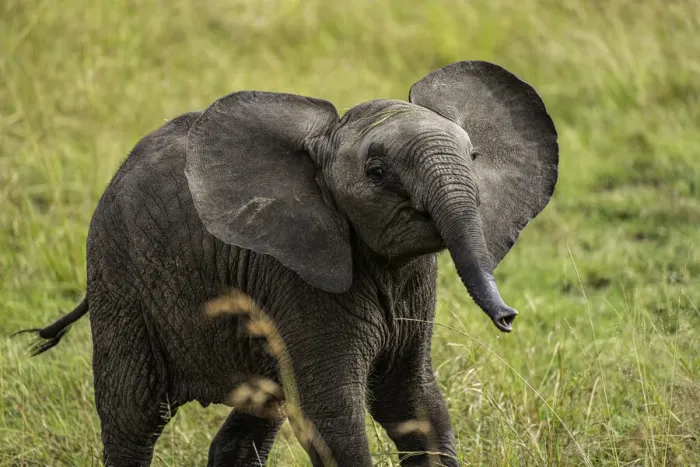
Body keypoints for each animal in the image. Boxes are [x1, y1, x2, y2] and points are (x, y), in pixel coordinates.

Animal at [17, 60, 558, 466]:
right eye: (376, 172)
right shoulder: (297, 277)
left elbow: (413, 401)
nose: (508, 319)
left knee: (257, 412)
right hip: (119, 275)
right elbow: (332, 415)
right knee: (132, 415)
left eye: (474, 155)